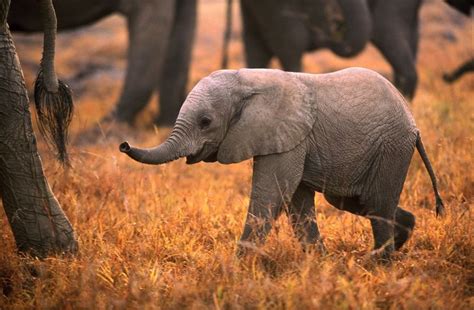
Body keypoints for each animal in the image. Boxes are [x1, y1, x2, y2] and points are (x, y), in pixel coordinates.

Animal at [119, 68, 444, 260]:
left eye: (205, 122)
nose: (123, 144)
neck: (247, 80)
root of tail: (413, 123)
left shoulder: (288, 136)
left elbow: (271, 195)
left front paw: (237, 268)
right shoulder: (291, 139)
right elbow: (297, 202)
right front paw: (318, 263)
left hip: (391, 147)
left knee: (377, 205)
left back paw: (377, 262)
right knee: (358, 202)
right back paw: (401, 238)